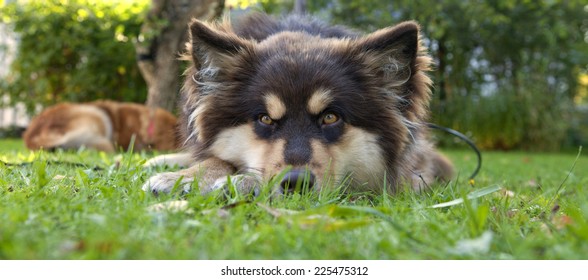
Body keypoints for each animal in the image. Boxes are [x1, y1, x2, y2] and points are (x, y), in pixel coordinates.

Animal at [142, 13, 454, 196]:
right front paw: (183, 177)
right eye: (265, 119)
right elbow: (217, 157)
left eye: (330, 117)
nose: (296, 183)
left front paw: (245, 182)